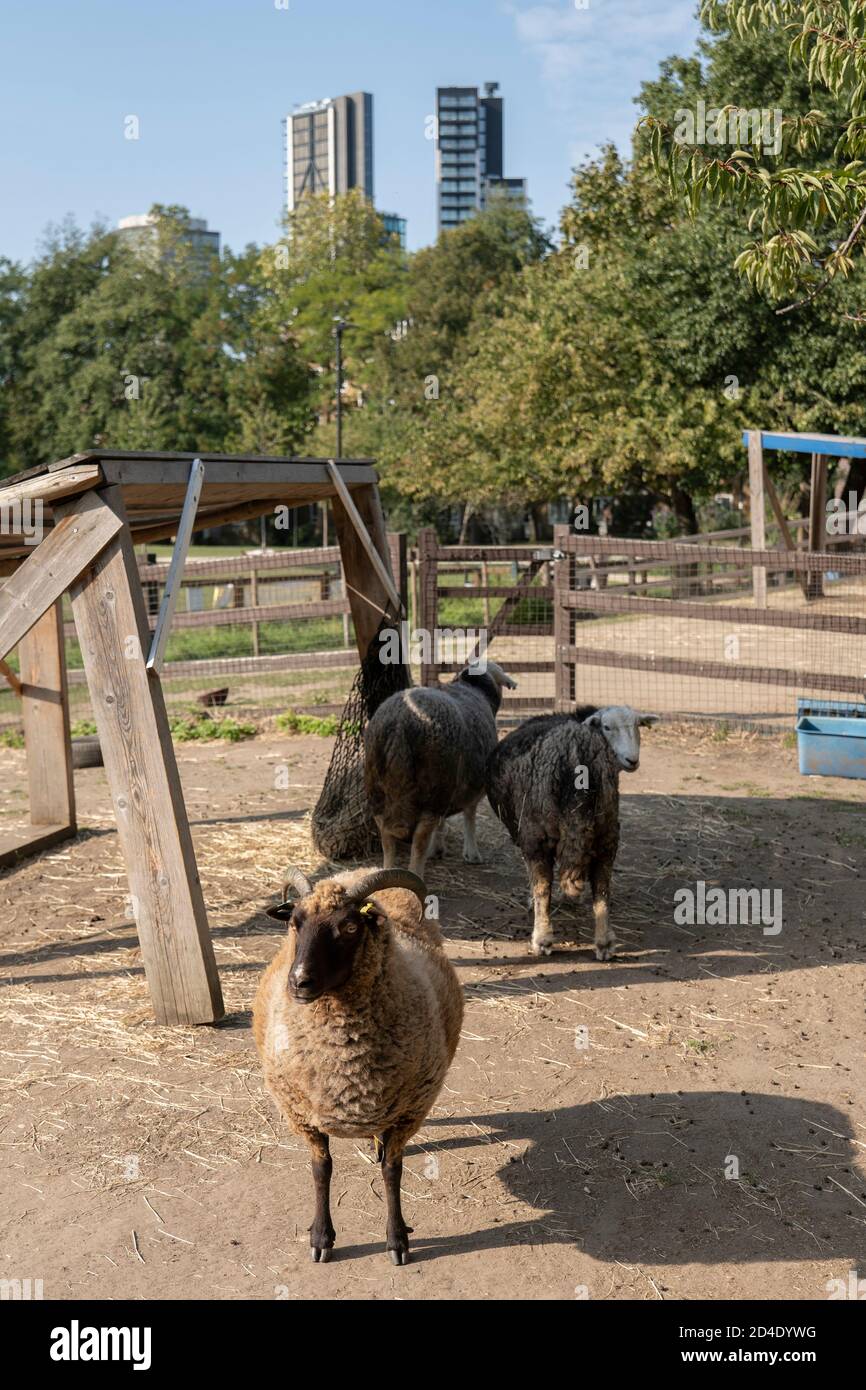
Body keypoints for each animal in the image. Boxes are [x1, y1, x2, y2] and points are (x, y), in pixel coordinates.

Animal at [364, 656, 517, 872]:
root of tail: (401, 723)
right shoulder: (473, 787)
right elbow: (469, 815)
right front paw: (471, 853)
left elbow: (443, 822)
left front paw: (438, 848)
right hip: (435, 791)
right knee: (419, 840)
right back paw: (416, 873)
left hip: (377, 790)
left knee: (387, 839)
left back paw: (388, 871)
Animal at [483, 700, 661, 961]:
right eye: (607, 727)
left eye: (638, 725)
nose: (632, 760)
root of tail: (576, 751)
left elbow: (545, 885)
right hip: (588, 833)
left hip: (549, 834)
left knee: (549, 884)